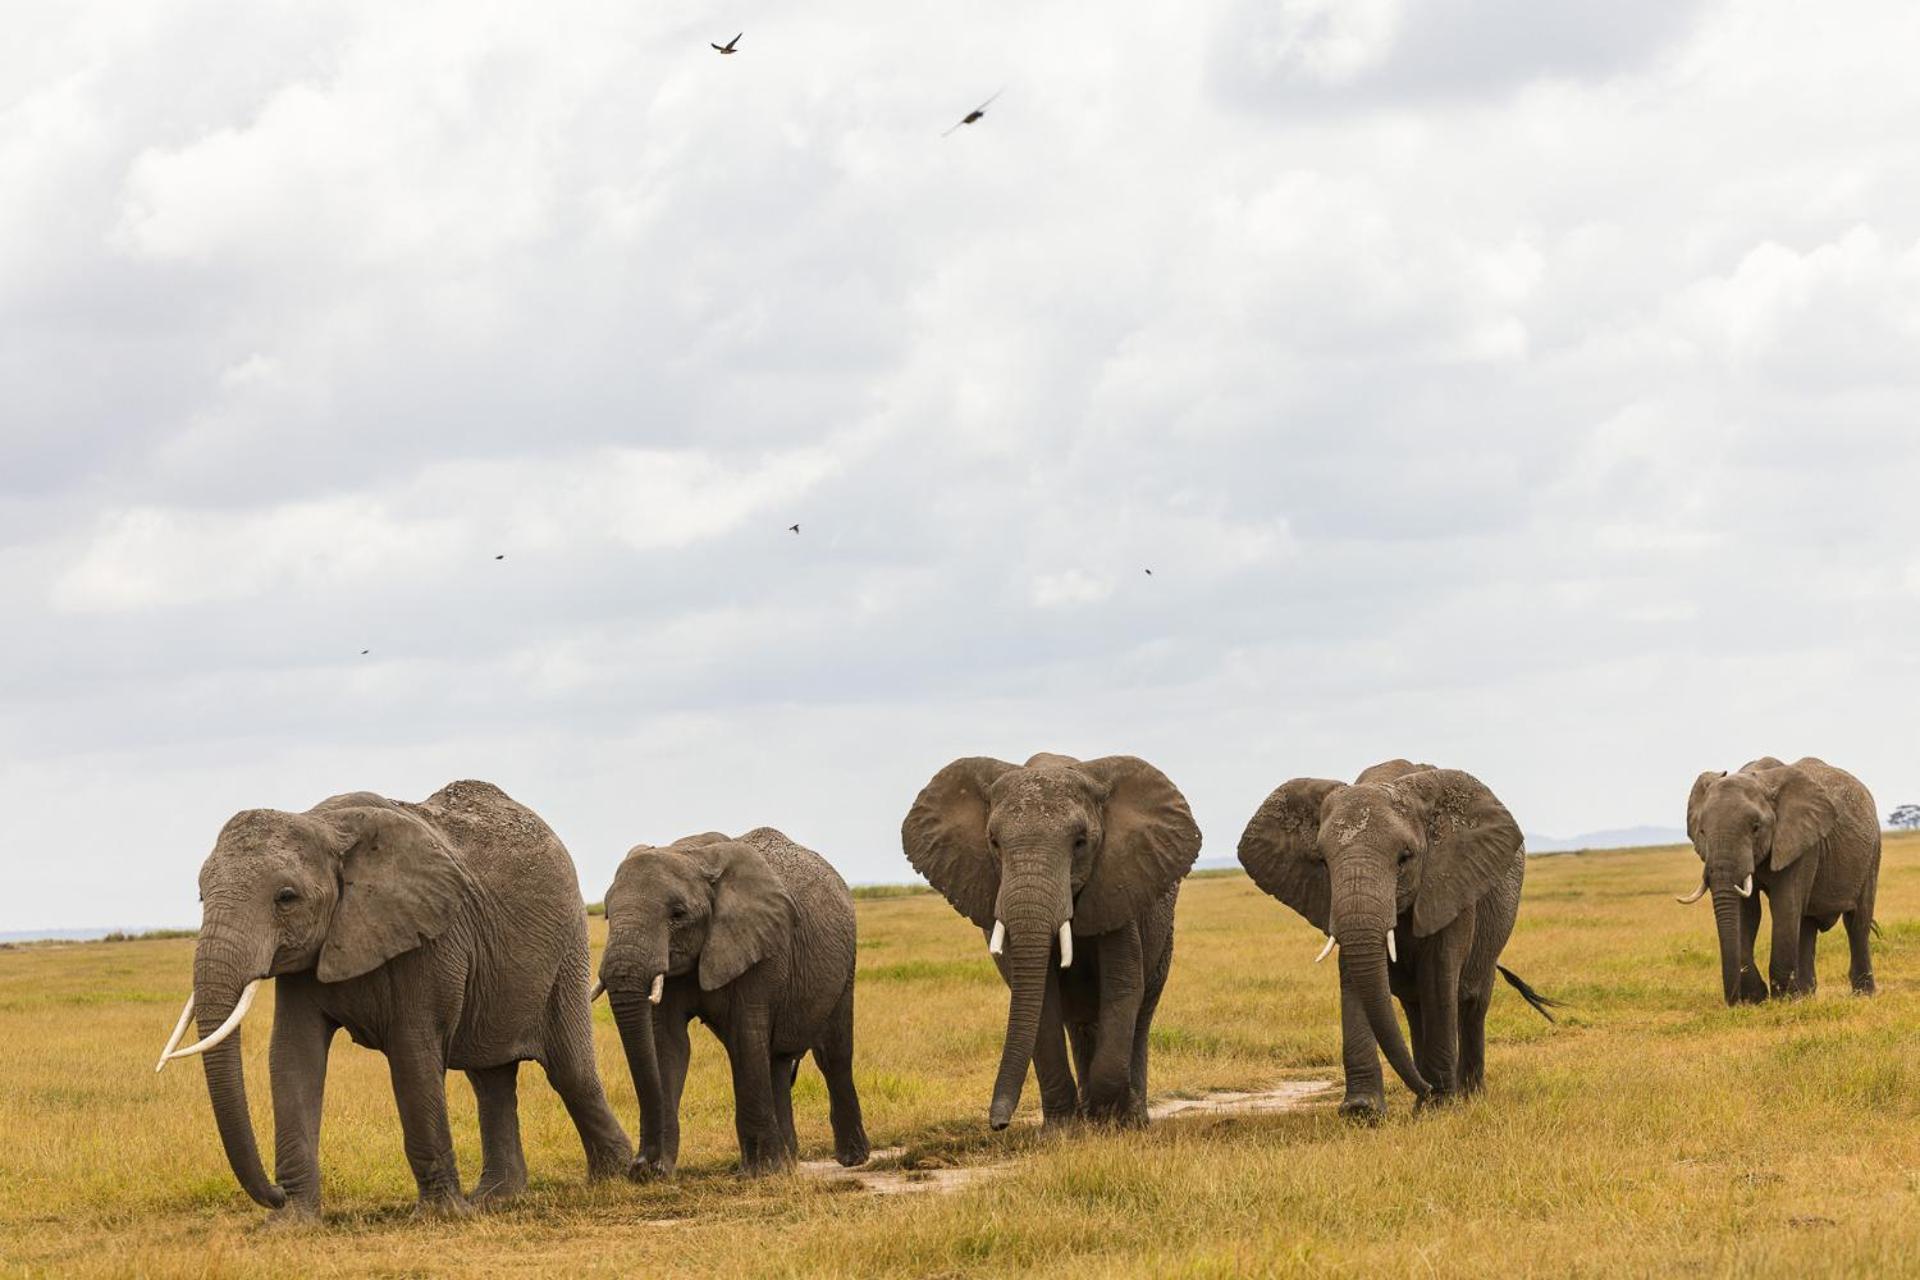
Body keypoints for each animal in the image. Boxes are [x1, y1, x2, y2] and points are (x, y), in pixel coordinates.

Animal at [153, 782, 629, 1220]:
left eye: (286, 897)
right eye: (201, 896)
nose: (275, 1192)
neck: (323, 825)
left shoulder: (431, 934)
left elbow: (412, 1054)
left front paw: (441, 1217)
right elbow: (291, 1055)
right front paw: (290, 1222)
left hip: (565, 946)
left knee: (570, 1071)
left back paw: (618, 1178)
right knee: (489, 1079)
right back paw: (497, 1198)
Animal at [902, 756, 1198, 1128]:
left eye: (1081, 842)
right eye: (993, 842)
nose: (998, 1124)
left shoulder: (1119, 886)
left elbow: (1123, 987)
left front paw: (1112, 1120)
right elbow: (1042, 999)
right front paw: (1064, 1130)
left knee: (1142, 1011)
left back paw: (1132, 1118)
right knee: (1080, 1023)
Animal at [1228, 759, 1559, 1120]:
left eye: (1405, 857)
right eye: (1322, 862)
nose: (1429, 1090)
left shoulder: (1450, 882)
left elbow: (1438, 978)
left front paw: (1440, 1108)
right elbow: (1355, 975)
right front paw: (1362, 1111)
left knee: (1471, 1002)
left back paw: (1468, 1097)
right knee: (1415, 1009)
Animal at [1681, 756, 1873, 1005]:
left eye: (1755, 828)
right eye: (1702, 832)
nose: (1733, 1001)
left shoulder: (1801, 843)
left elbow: (1784, 905)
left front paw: (1782, 1000)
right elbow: (1747, 912)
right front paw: (1756, 998)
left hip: (1872, 851)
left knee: (1857, 921)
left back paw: (1863, 995)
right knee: (1807, 923)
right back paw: (1806, 995)